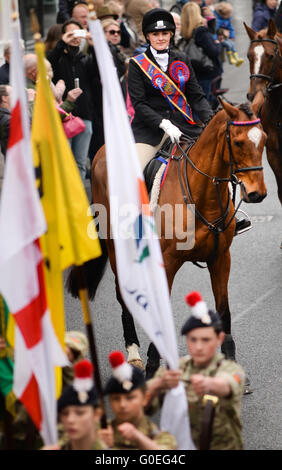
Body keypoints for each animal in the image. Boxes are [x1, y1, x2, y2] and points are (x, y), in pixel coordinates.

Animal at [67, 96, 266, 378]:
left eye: (264, 139)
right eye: (237, 142)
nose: (257, 193)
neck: (201, 196)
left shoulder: (220, 258)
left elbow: (223, 309)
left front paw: (229, 363)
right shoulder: (168, 261)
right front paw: (153, 363)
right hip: (117, 248)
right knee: (122, 294)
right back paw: (134, 354)